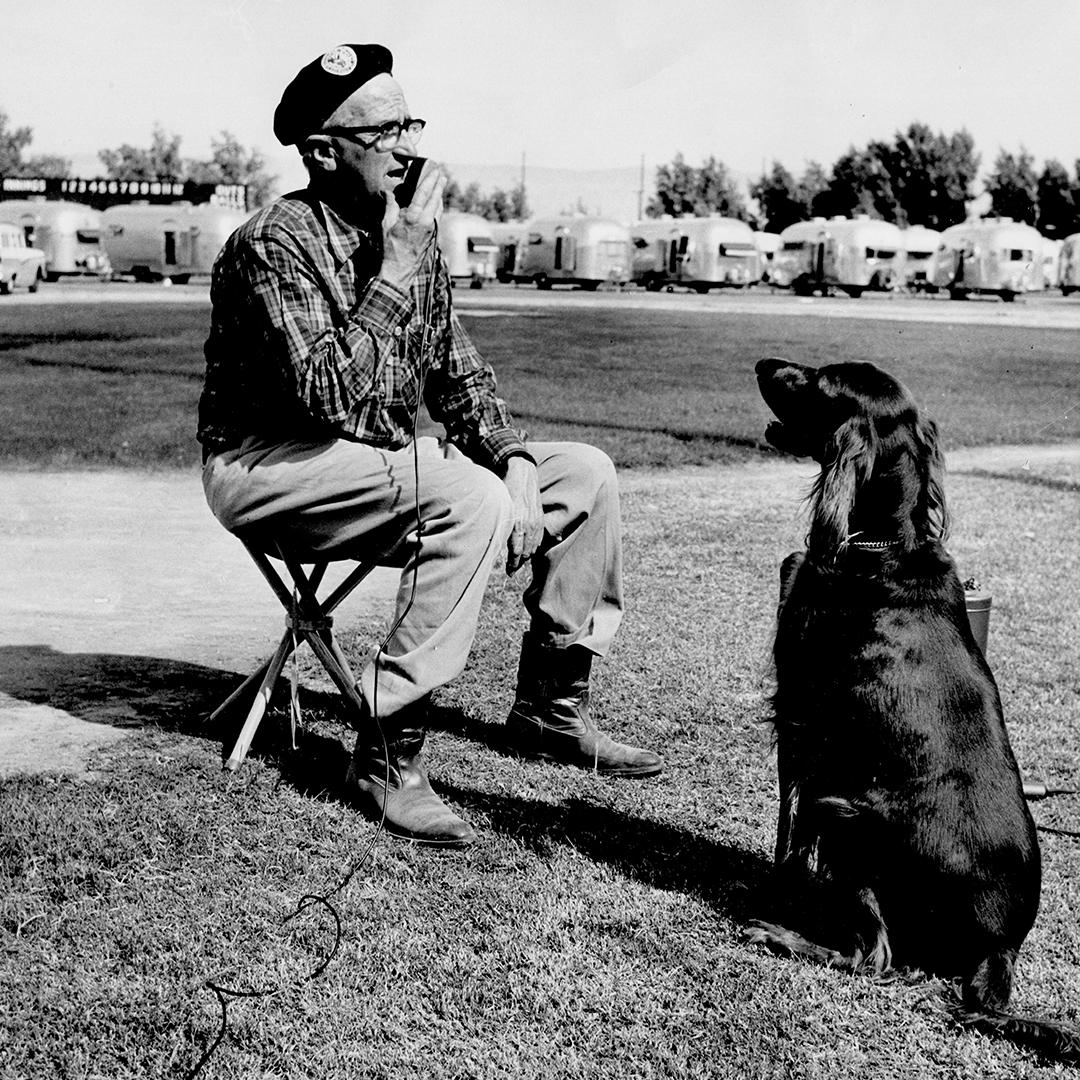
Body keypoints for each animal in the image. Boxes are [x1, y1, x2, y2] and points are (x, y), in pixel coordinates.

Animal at [751, 356, 1080, 1062]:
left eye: (819, 381)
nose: (764, 364)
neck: (884, 545)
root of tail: (1000, 946)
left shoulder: (801, 717)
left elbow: (787, 829)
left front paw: (780, 893)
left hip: (844, 814)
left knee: (874, 957)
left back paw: (782, 935)